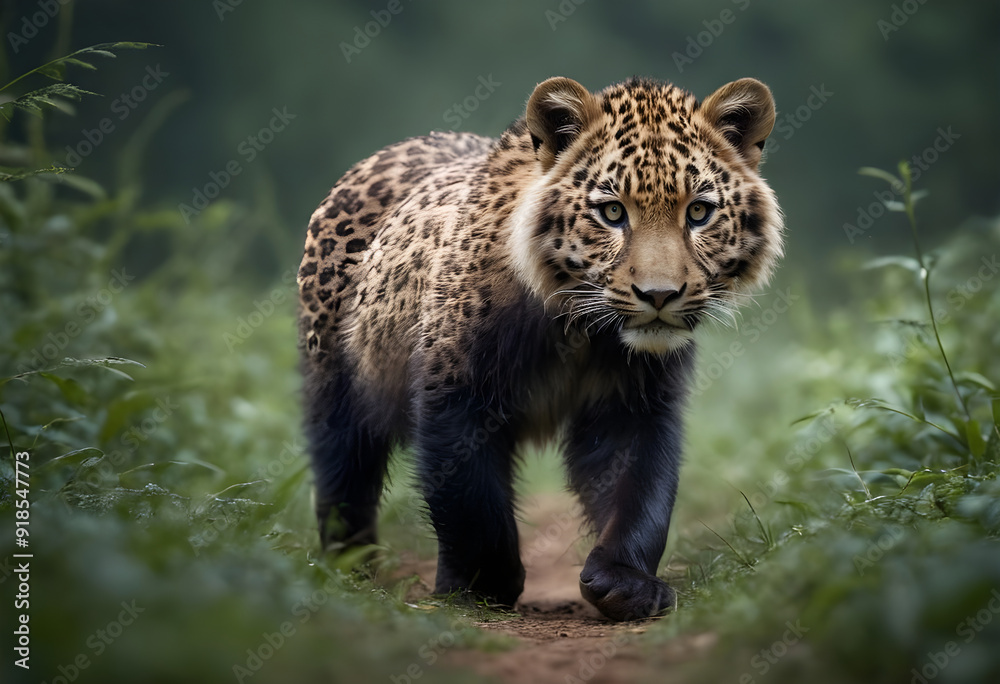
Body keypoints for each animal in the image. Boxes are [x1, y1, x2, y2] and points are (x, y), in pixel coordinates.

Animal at [297, 75, 783, 621]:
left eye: (698, 212)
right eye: (612, 211)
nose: (659, 295)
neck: (580, 331)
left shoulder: (637, 403)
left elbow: (641, 492)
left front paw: (626, 583)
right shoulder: (456, 393)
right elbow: (471, 503)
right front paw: (482, 586)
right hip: (334, 381)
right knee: (343, 473)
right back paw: (350, 570)